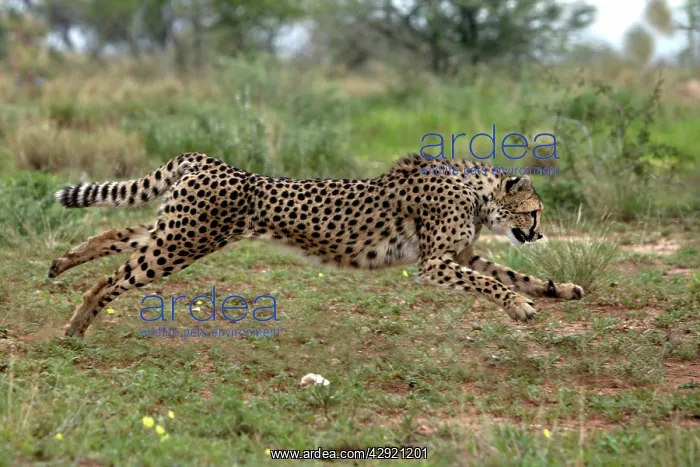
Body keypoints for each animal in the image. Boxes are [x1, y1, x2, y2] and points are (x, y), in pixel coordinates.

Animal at [49, 152, 584, 338]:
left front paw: (559, 290)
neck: (477, 193)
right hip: (184, 241)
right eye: (534, 212)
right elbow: (490, 283)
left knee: (118, 235)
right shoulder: (434, 263)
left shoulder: (462, 254)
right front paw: (518, 307)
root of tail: (211, 161)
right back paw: (74, 327)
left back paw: (62, 262)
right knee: (111, 279)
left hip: (179, 230)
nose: (538, 233)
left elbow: (508, 273)